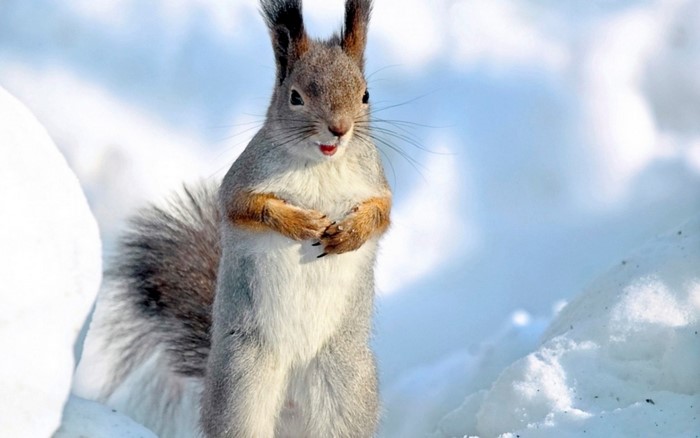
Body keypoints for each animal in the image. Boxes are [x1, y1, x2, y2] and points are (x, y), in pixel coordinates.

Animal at [71, 0, 391, 437]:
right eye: (295, 97)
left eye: (365, 95)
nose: (338, 130)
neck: (321, 164)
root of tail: (289, 405)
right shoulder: (242, 181)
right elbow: (247, 208)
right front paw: (301, 223)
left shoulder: (376, 182)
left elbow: (382, 214)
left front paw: (350, 234)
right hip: (243, 381)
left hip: (344, 386)